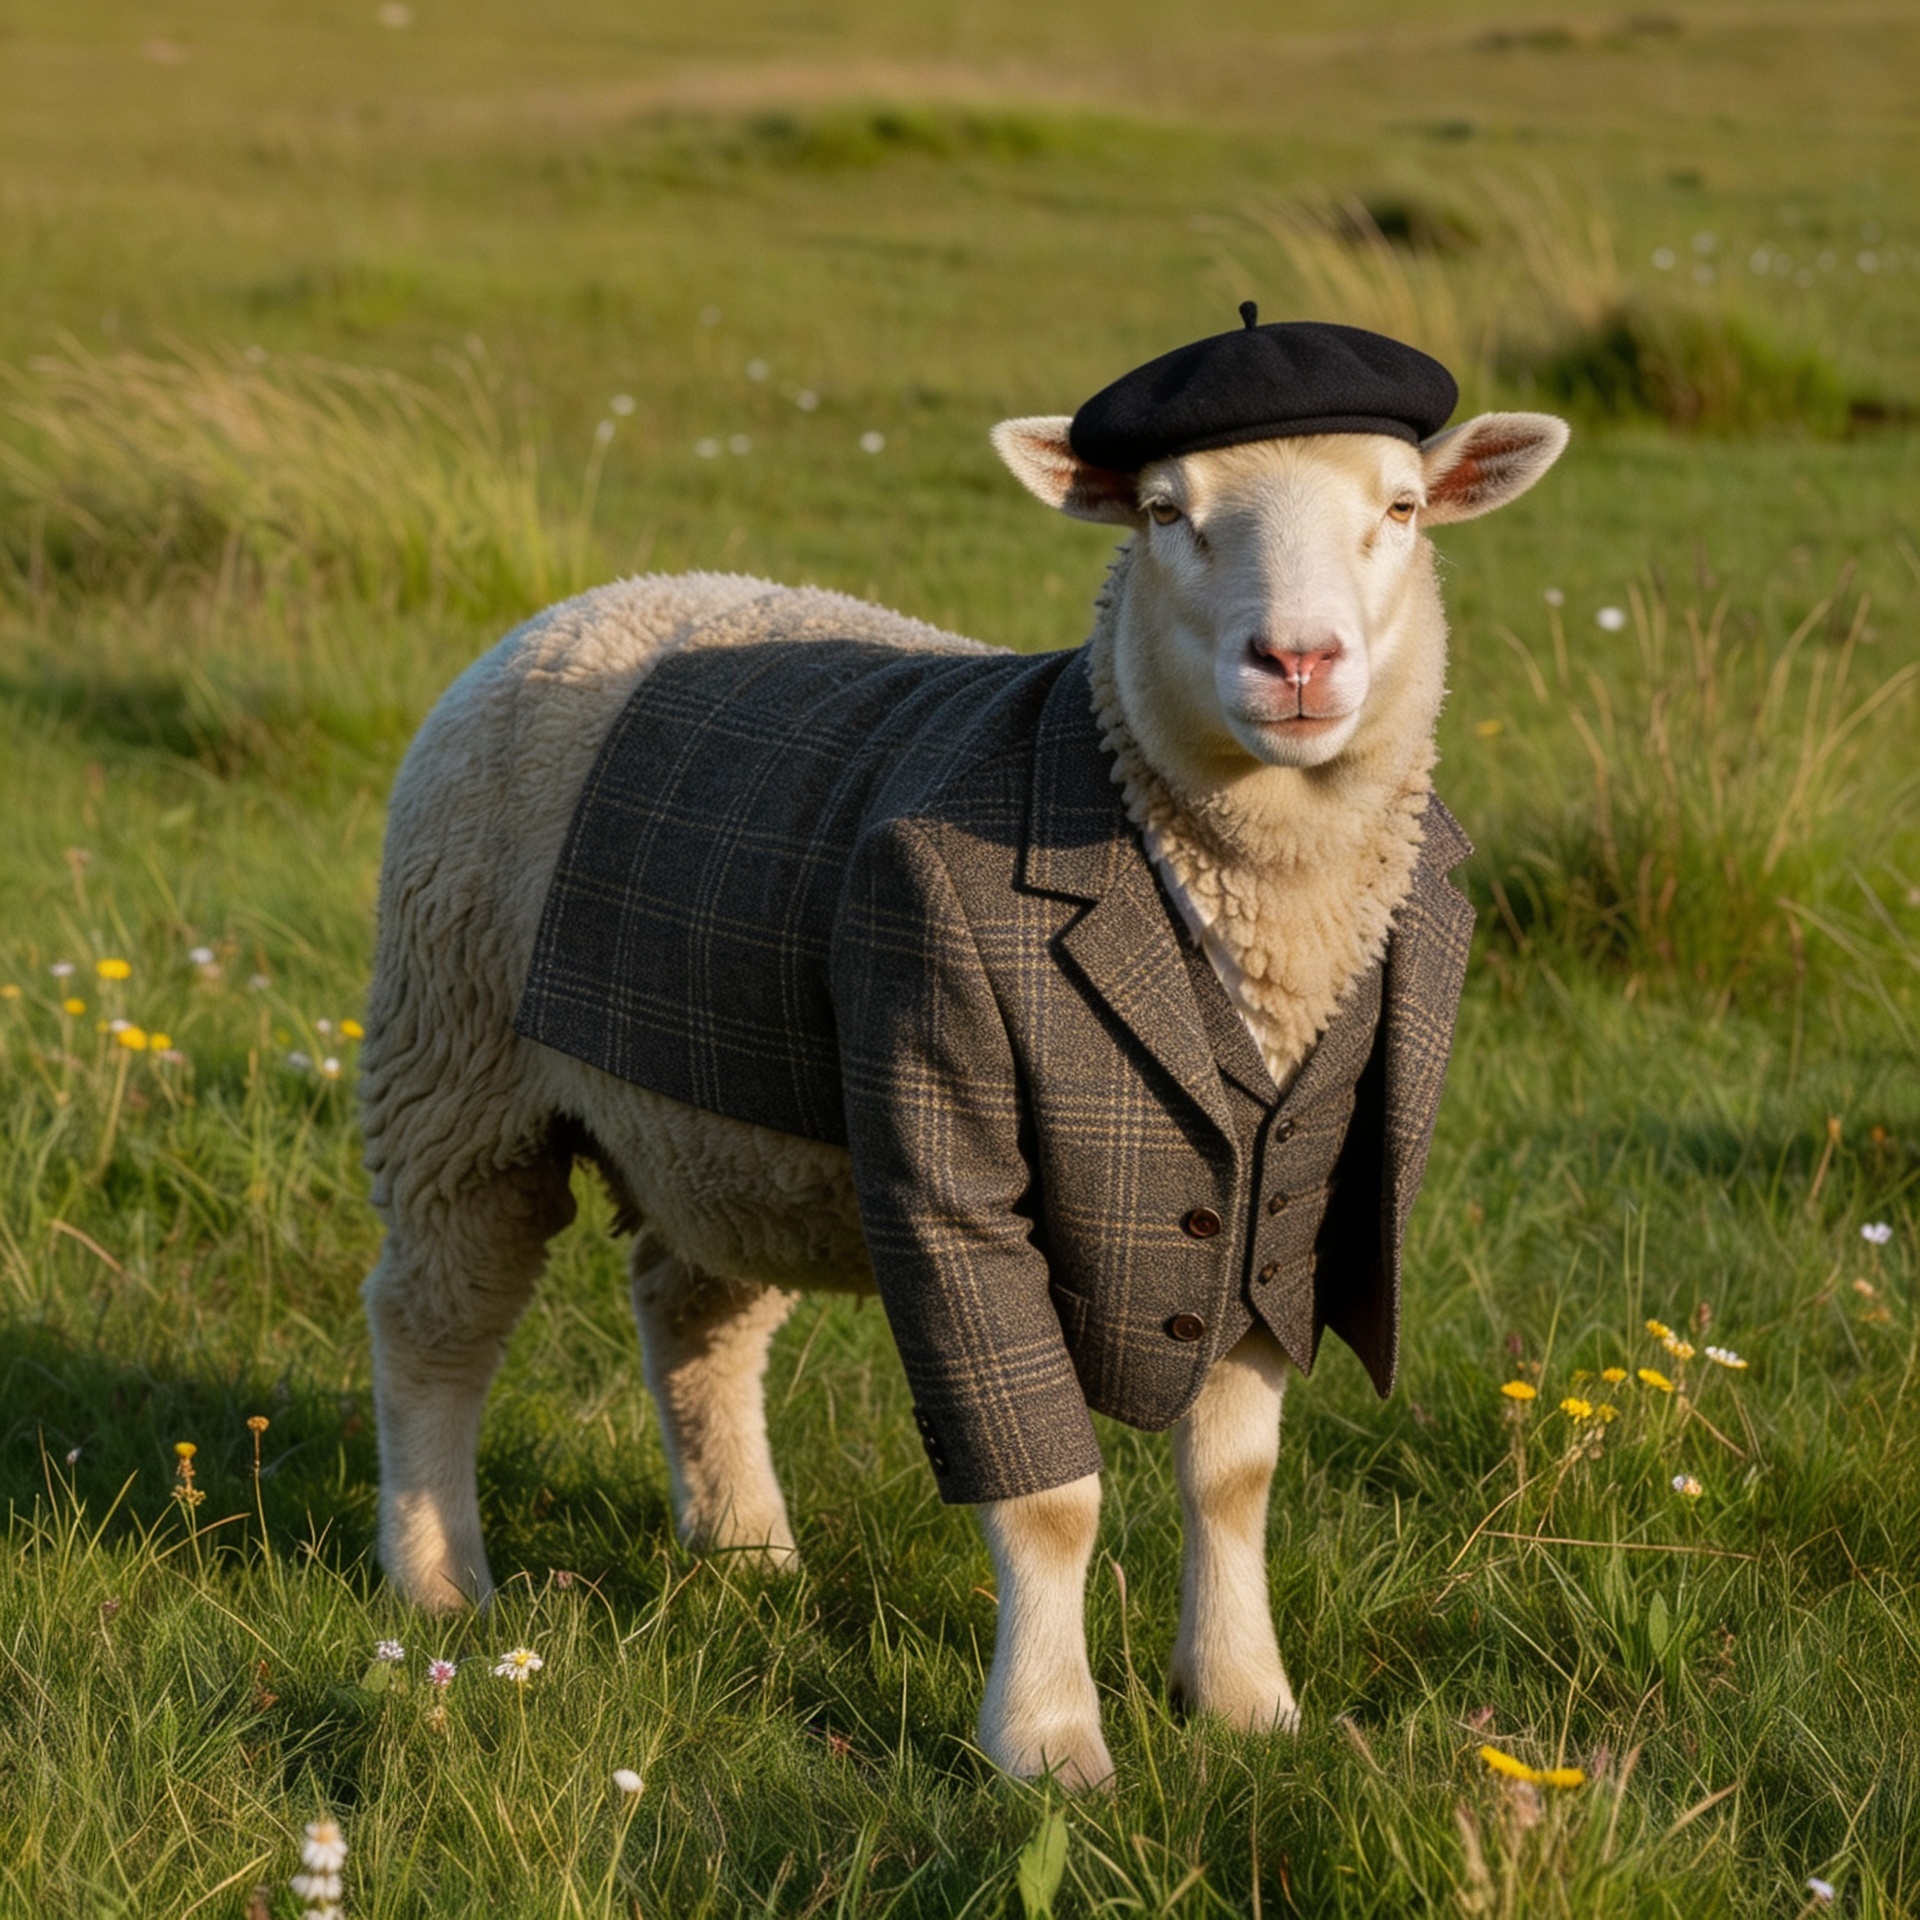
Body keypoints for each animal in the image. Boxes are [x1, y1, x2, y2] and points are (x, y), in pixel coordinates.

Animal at [359, 380, 1567, 1791]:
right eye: (1167, 511)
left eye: (1404, 507)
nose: (1299, 661)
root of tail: (600, 598)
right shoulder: (959, 1172)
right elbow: (1047, 1498)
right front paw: (1048, 1742)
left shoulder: (1282, 1202)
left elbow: (1233, 1478)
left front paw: (1243, 1700)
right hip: (457, 1067)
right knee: (435, 1323)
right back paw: (439, 1580)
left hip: (730, 1133)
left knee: (697, 1314)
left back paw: (746, 1549)